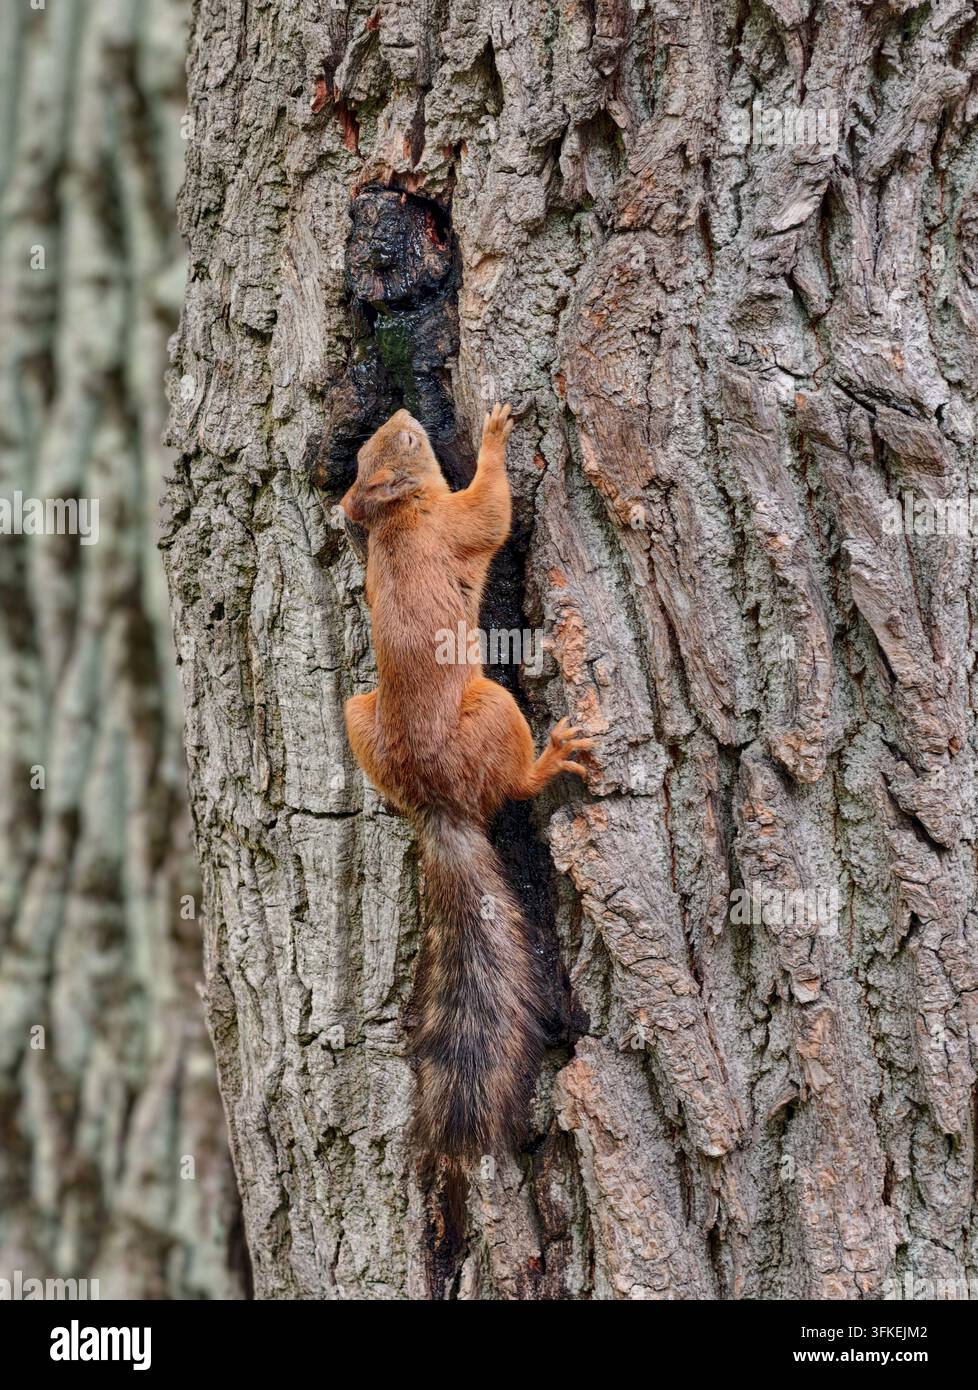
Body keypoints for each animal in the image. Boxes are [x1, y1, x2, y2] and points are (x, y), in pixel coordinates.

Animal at [341, 402, 592, 1220]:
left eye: (373, 449)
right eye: (404, 443)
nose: (400, 411)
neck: (398, 518)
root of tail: (436, 803)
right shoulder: (456, 523)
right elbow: (491, 510)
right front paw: (495, 434)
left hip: (358, 716)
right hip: (493, 708)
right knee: (513, 784)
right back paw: (555, 754)